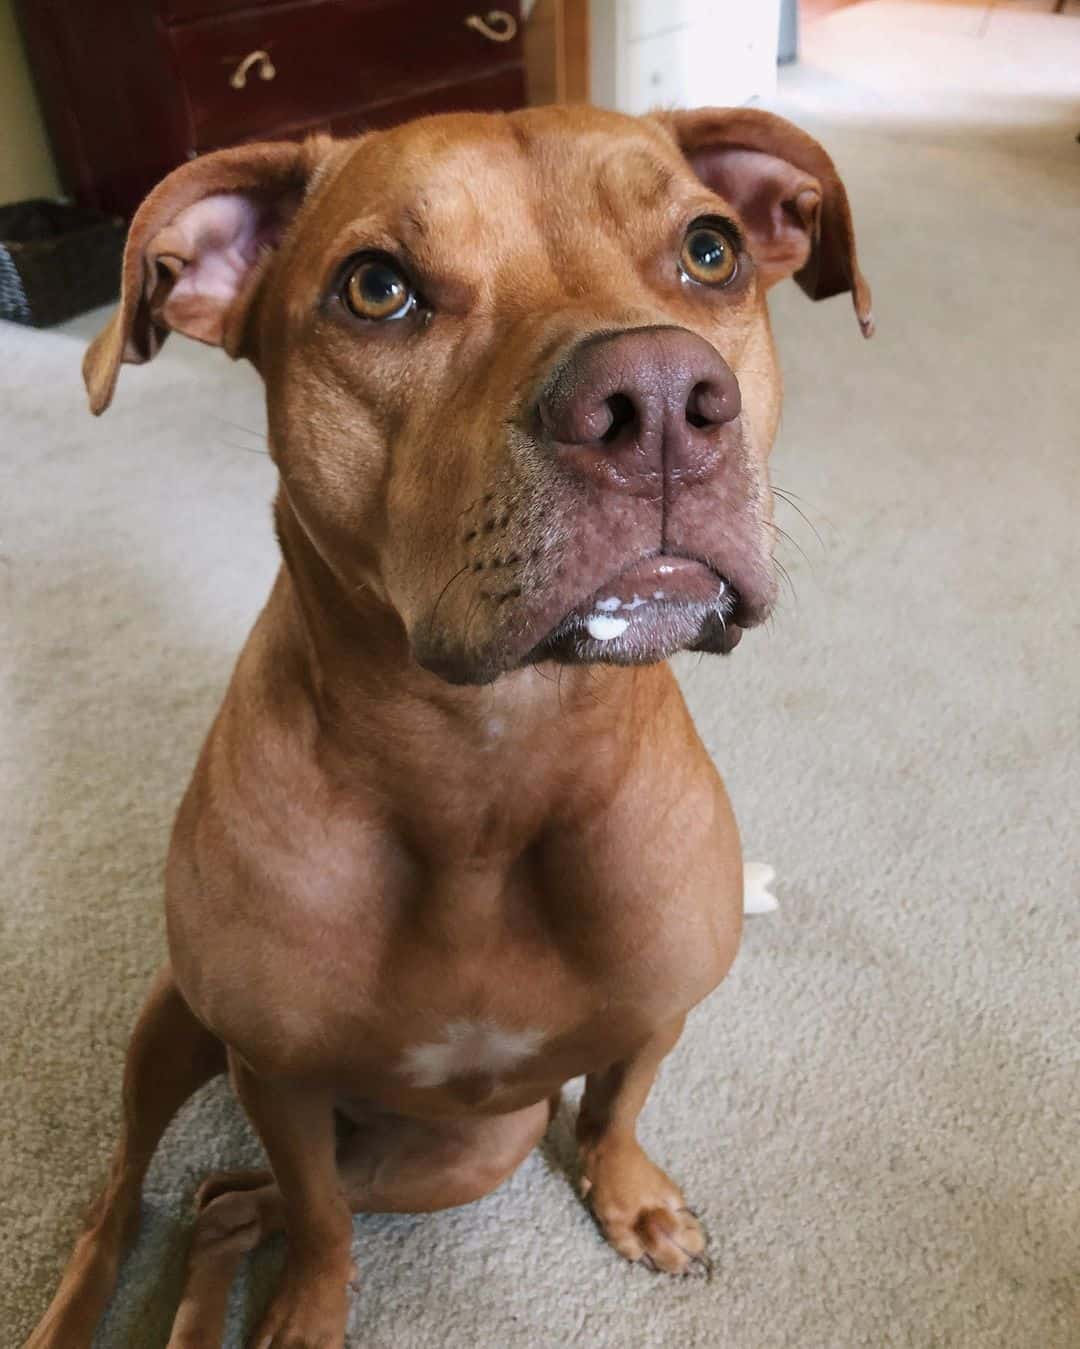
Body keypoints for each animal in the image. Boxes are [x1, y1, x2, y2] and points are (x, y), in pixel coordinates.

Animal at [25, 105, 868, 1349]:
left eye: (709, 250)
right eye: (376, 288)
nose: (660, 397)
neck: (491, 763)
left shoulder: (656, 1011)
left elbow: (612, 1111)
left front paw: (630, 1198)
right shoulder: (276, 1075)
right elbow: (320, 1220)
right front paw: (310, 1307)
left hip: (464, 1147)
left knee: (226, 1200)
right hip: (171, 1026)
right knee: (130, 1193)